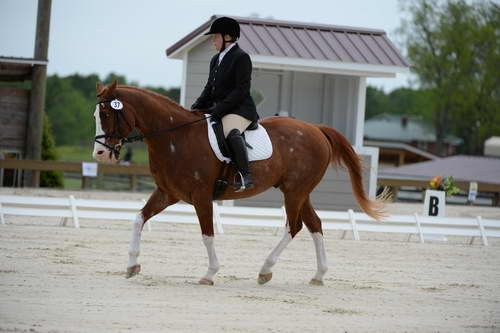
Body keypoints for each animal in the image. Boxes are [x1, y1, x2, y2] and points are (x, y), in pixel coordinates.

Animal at [92, 81, 384, 286]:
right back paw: (318, 275)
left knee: (294, 226)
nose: (100, 154)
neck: (175, 137)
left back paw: (265, 270)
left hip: (295, 192)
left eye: (106, 114)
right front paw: (132, 266)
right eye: (96, 115)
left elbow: (207, 234)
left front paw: (209, 274)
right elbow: (138, 219)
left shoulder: (201, 196)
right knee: (315, 225)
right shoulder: (167, 193)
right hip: (300, 192)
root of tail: (317, 129)